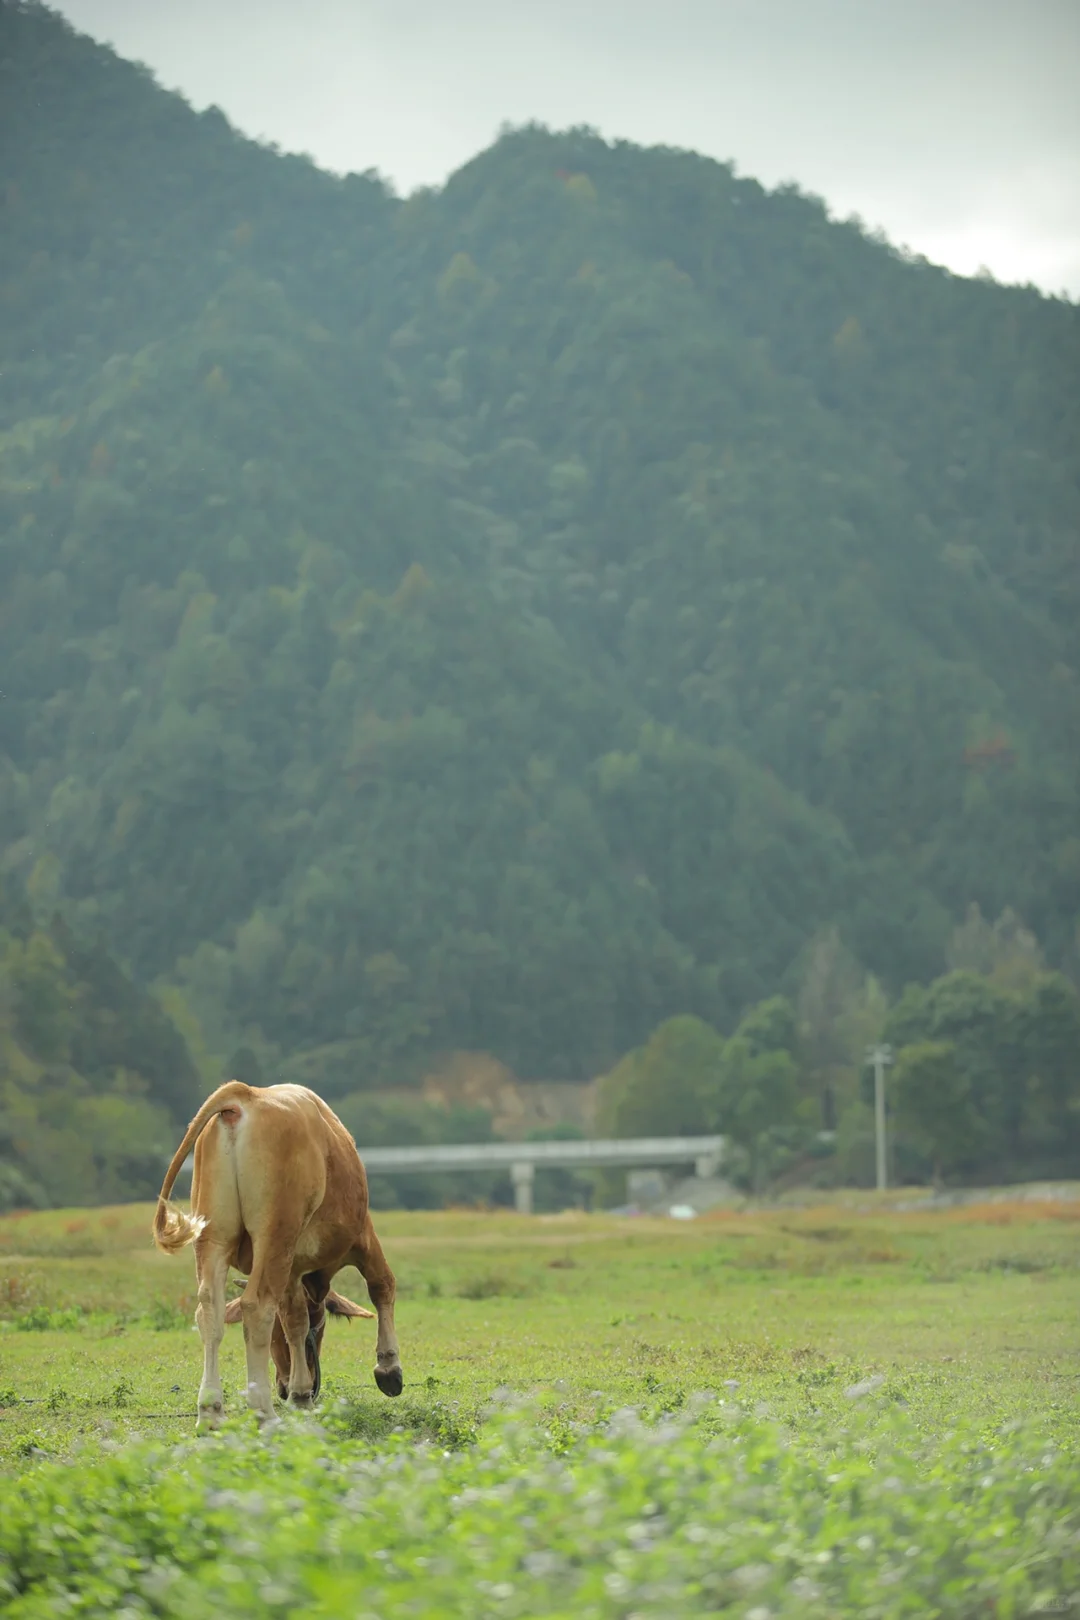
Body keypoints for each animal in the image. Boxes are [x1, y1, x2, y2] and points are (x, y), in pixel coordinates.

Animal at [153, 1075, 403, 1432]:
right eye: (323, 1329)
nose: (283, 1388)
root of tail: (244, 1095)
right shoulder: (363, 1237)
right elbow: (382, 1285)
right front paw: (389, 1368)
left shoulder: (292, 1270)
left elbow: (295, 1320)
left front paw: (300, 1393)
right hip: (274, 1233)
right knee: (256, 1307)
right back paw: (263, 1413)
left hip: (215, 1236)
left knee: (210, 1312)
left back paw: (212, 1411)